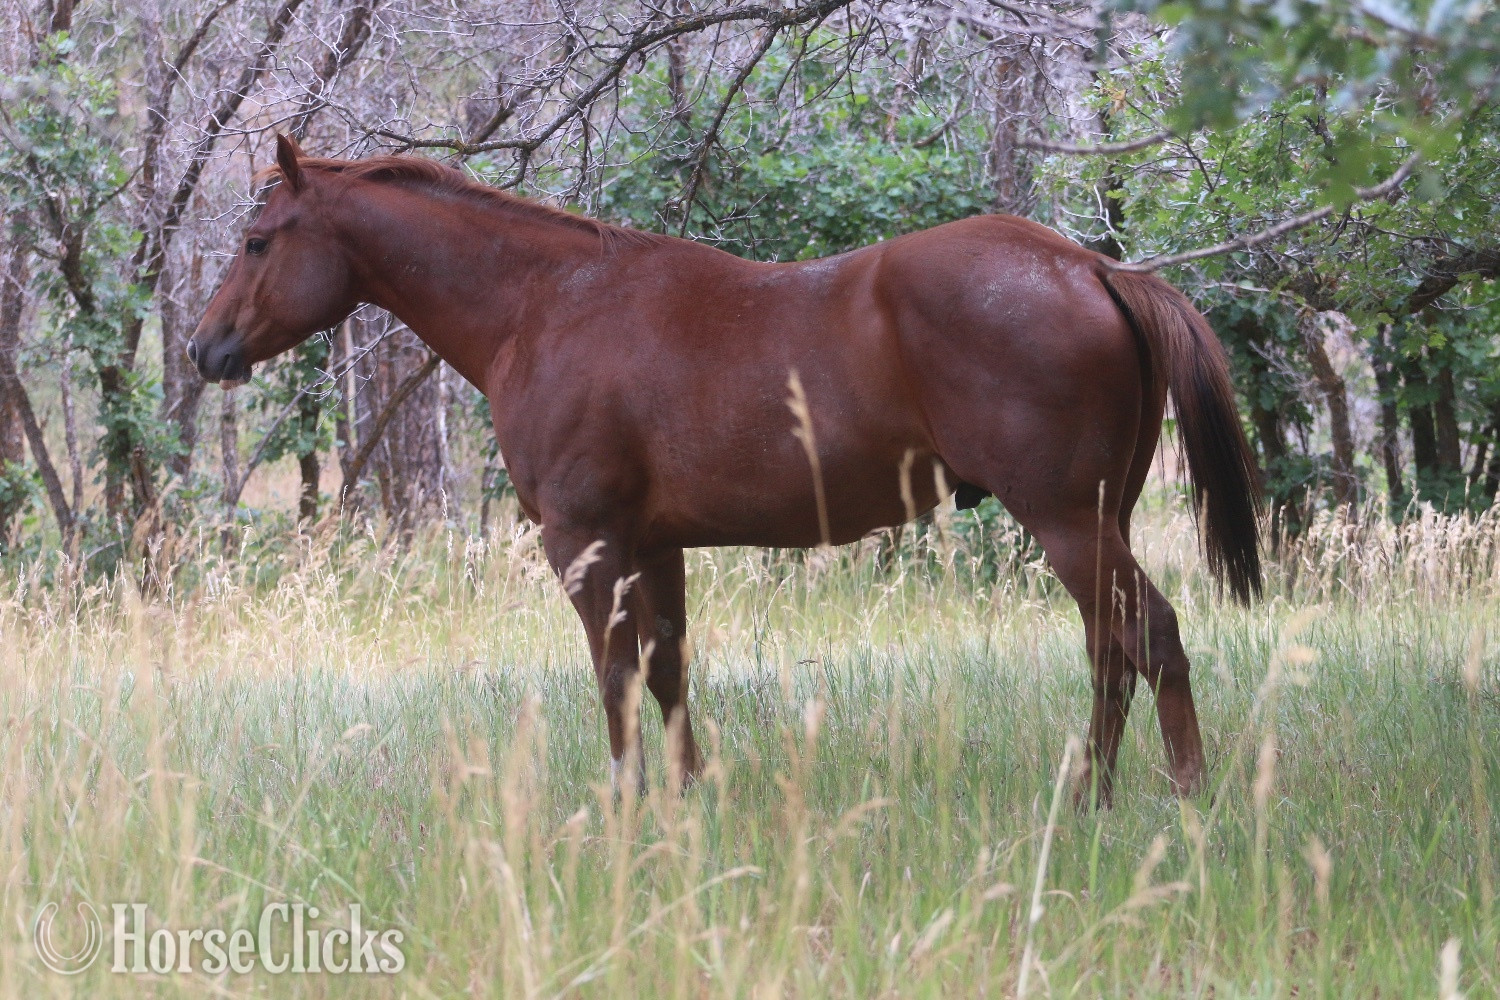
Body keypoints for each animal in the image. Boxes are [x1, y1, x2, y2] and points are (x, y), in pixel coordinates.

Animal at [190, 134, 1261, 806]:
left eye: (255, 240)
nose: (205, 349)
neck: (547, 303)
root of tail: (1092, 267)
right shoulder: (655, 545)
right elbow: (667, 673)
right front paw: (687, 798)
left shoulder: (585, 543)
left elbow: (617, 677)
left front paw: (625, 811)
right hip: (1100, 518)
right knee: (1111, 653)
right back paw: (1091, 801)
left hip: (1068, 522)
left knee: (1151, 640)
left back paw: (1188, 805)